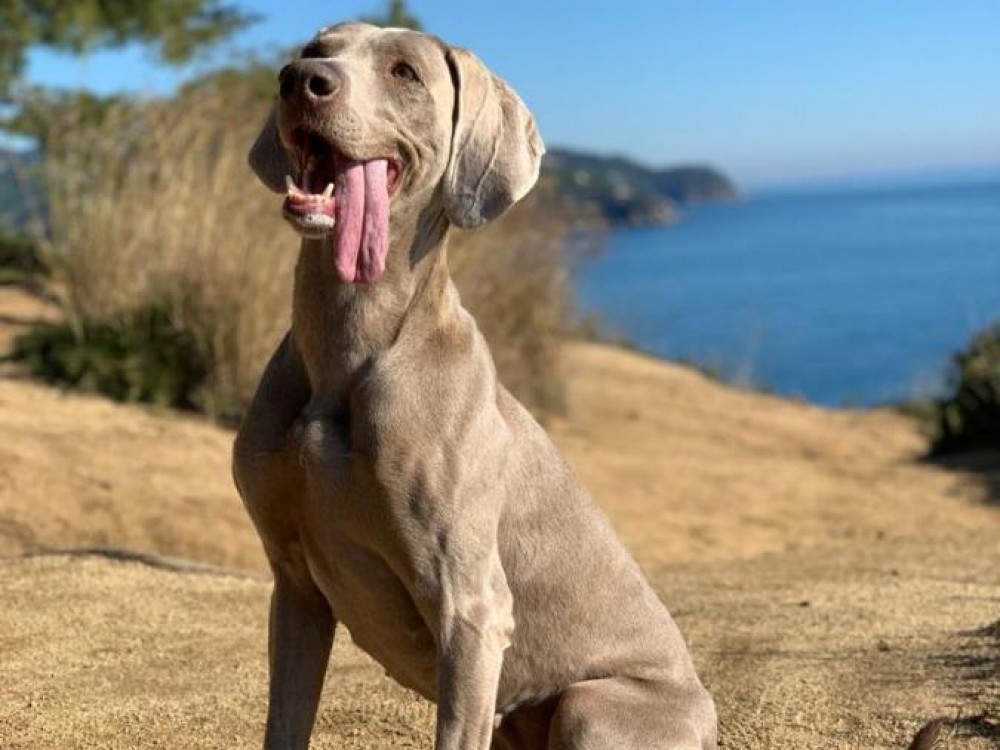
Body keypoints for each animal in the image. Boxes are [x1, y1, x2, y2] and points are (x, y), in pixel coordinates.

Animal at [233, 21, 717, 750]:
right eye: (318, 48)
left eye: (404, 72)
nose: (298, 80)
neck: (351, 346)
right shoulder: (294, 585)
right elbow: (284, 721)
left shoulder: (471, 608)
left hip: (594, 705)